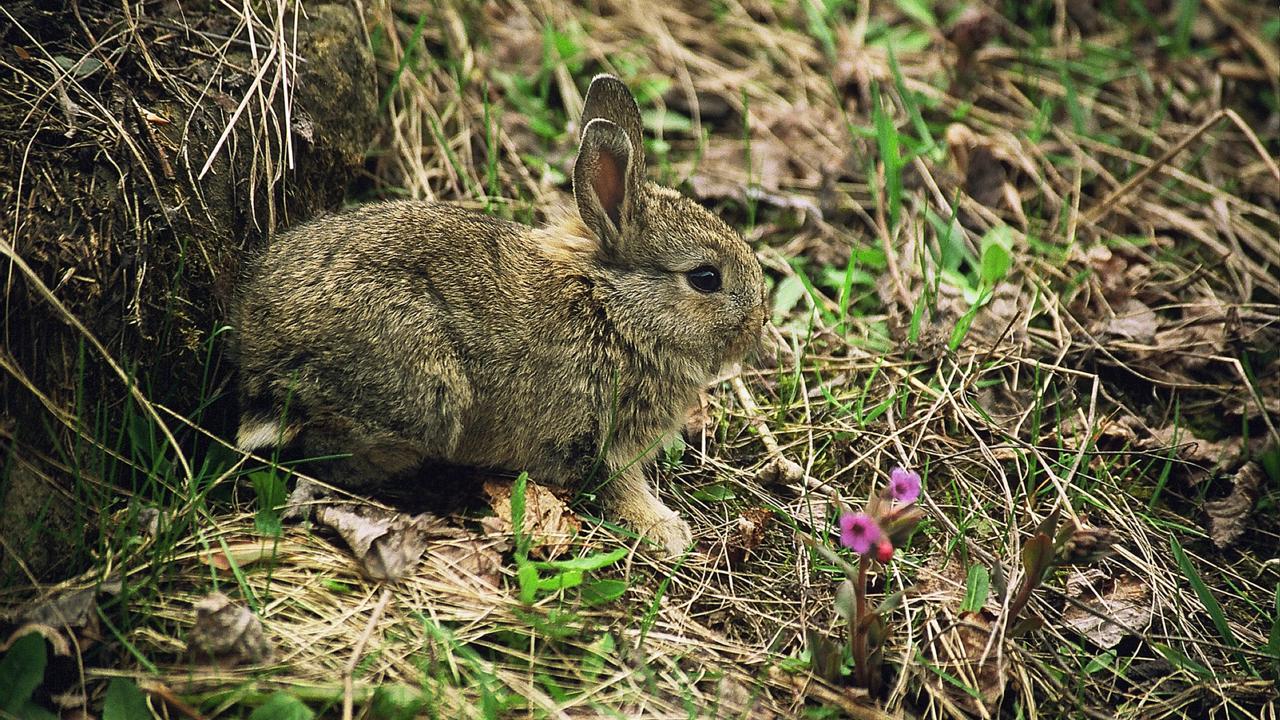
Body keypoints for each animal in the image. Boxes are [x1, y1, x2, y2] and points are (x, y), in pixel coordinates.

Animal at [231, 74, 762, 556]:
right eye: (706, 278)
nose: (756, 328)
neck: (614, 309)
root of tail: (263, 361)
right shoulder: (603, 437)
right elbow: (621, 486)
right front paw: (667, 530)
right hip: (427, 388)